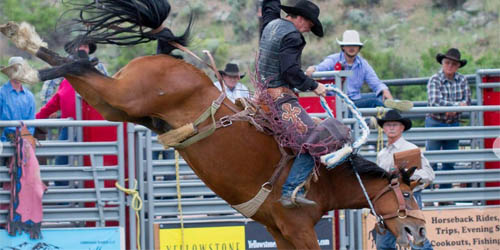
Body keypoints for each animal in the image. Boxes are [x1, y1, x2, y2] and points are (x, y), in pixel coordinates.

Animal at [0, 0, 430, 248]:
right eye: (409, 195)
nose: (419, 232)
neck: (327, 179)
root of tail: (170, 55)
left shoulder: (279, 231)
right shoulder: (299, 229)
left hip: (117, 107)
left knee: (79, 67)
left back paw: (20, 39)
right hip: (124, 97)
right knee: (79, 63)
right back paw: (24, 63)